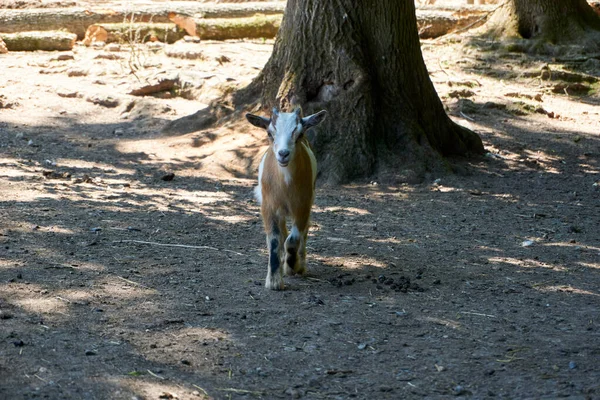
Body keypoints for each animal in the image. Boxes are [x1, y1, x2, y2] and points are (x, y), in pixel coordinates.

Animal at [245, 107, 326, 290]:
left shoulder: (303, 205)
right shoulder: (269, 205)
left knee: (303, 232)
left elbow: (293, 239)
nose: (283, 154)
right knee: (282, 232)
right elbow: (275, 239)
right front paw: (274, 281)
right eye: (269, 133)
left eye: (300, 134)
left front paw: (292, 265)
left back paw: (300, 264)